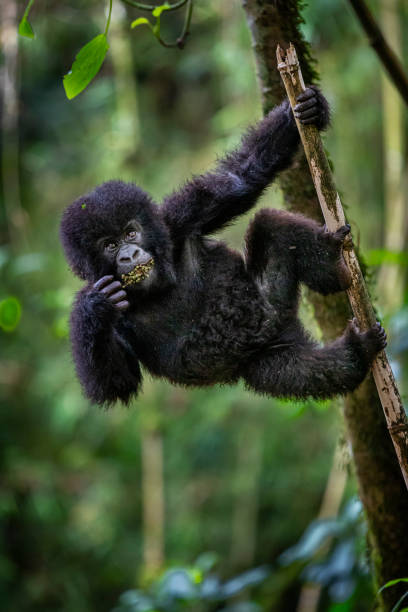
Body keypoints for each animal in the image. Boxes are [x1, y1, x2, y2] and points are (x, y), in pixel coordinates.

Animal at [59, 88, 386, 406]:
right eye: (110, 245)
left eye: (131, 233)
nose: (129, 254)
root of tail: (282, 324)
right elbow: (116, 383)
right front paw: (96, 306)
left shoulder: (178, 221)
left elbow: (240, 178)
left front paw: (306, 110)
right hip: (264, 361)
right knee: (309, 370)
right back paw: (356, 352)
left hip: (271, 299)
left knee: (270, 225)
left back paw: (335, 268)